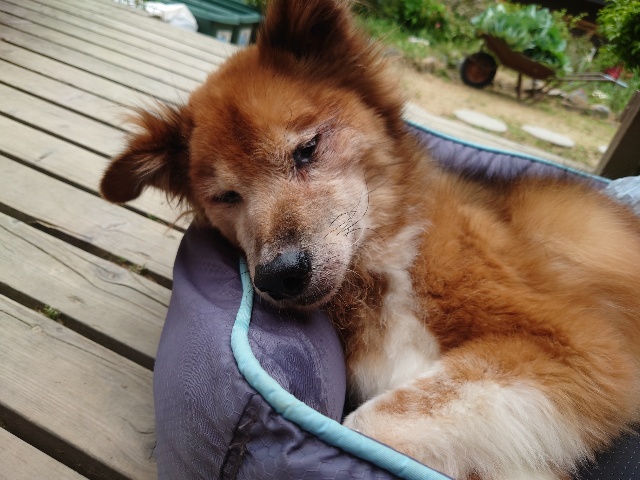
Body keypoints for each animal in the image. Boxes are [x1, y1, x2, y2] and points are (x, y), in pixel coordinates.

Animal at [100, 1, 640, 478]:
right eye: (226, 197)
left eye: (307, 148)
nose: (279, 276)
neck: (385, 261)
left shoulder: (575, 342)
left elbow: (369, 423)